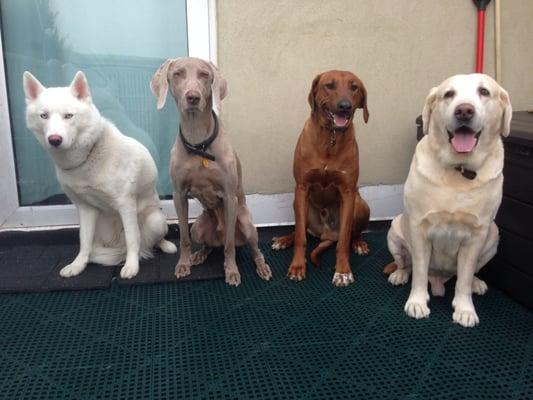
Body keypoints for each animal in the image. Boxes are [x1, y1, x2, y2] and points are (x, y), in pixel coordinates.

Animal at [22, 71, 177, 278]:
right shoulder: (85, 209)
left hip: (156, 220)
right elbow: (84, 242)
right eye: (44, 116)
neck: (85, 159)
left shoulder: (126, 205)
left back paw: (165, 245)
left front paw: (132, 266)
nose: (54, 140)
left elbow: (132, 238)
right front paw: (78, 265)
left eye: (68, 116)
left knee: (149, 240)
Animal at [152, 57, 272, 288]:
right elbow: (183, 238)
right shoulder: (179, 195)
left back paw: (262, 266)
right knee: (208, 244)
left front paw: (232, 271)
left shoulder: (229, 196)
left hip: (246, 224)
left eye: (204, 75)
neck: (198, 141)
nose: (193, 97)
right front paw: (183, 264)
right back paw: (199, 255)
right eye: (178, 73)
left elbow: (230, 245)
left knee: (251, 248)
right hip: (198, 227)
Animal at [270, 70, 370, 286]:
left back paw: (358, 243)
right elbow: (301, 236)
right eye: (329, 85)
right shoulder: (302, 187)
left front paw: (342, 270)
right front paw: (297, 266)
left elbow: (344, 240)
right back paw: (284, 240)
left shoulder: (348, 192)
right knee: (300, 229)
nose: (345, 106)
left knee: (352, 233)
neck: (330, 137)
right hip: (299, 204)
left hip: (361, 204)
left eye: (354, 87)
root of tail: (326, 233)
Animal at [386, 73, 512, 326]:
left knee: (468, 274)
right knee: (407, 264)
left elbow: (463, 278)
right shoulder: (418, 228)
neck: (459, 170)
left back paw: (476, 283)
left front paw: (465, 309)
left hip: (493, 236)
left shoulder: (477, 235)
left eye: (484, 92)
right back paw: (399, 274)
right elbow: (420, 272)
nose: (464, 111)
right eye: (449, 94)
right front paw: (417, 302)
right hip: (394, 231)